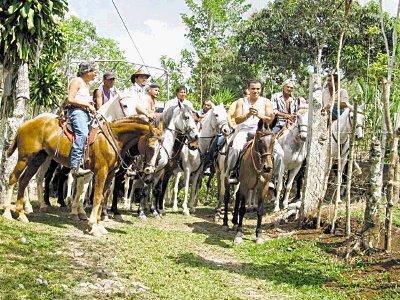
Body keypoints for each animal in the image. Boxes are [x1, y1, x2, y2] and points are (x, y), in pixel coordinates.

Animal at [2, 113, 162, 236]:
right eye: (150, 146)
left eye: (160, 147)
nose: (149, 170)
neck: (113, 139)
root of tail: (25, 124)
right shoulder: (101, 172)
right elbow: (96, 197)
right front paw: (93, 227)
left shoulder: (109, 175)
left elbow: (102, 199)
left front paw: (99, 225)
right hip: (24, 158)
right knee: (13, 178)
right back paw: (8, 213)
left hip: (37, 158)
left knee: (23, 181)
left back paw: (21, 214)